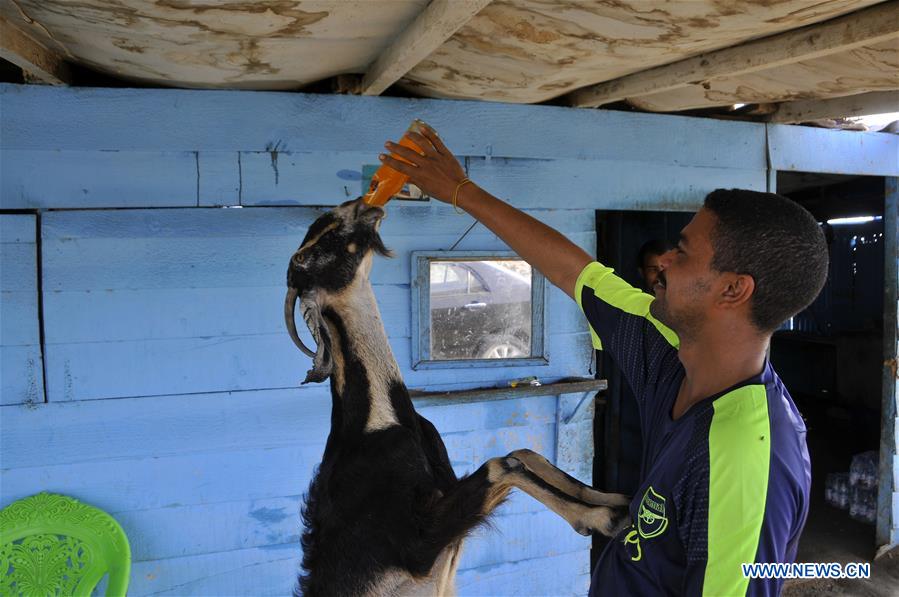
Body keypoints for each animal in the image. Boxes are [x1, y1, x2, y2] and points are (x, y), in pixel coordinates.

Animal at [284, 199, 628, 596]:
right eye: (313, 249)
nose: (360, 205)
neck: (379, 419)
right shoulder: (417, 545)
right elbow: (501, 464)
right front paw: (604, 517)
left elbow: (522, 453)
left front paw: (613, 499)